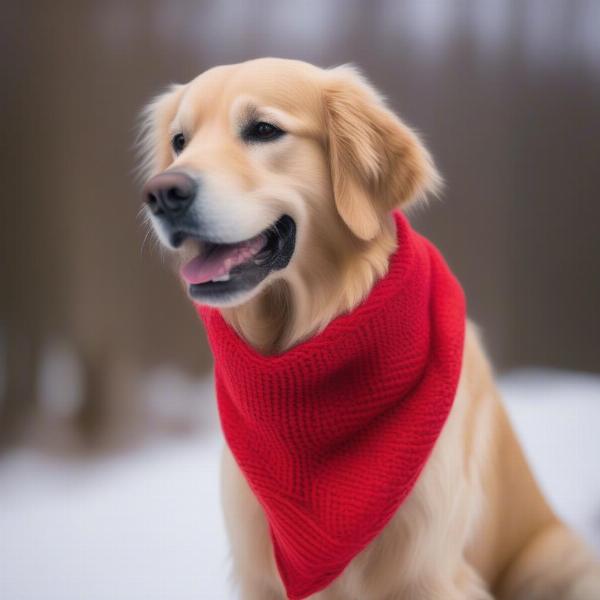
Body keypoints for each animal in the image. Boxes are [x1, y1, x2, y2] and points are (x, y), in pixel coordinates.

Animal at [137, 59, 600, 600]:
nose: (162, 194)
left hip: (555, 557)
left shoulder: (431, 572)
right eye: (180, 141)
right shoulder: (259, 576)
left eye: (263, 130)